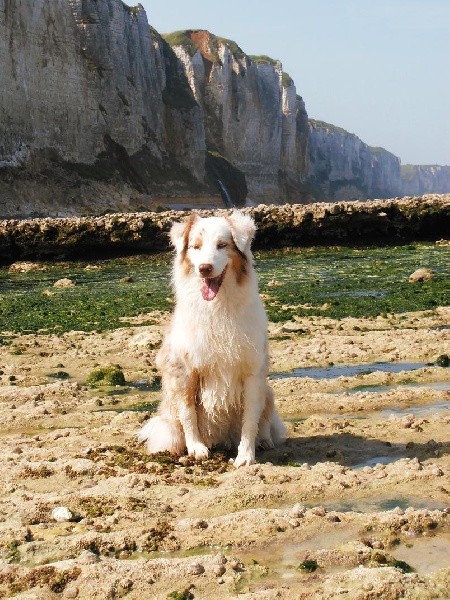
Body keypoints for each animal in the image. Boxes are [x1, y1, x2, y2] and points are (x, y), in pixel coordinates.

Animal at [135, 211, 286, 468]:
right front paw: (196, 448)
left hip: (268, 391)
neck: (218, 308)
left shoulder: (253, 372)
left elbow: (250, 420)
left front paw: (245, 456)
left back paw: (265, 440)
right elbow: (188, 414)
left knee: (265, 419)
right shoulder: (184, 371)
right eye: (195, 247)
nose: (204, 268)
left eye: (222, 245)